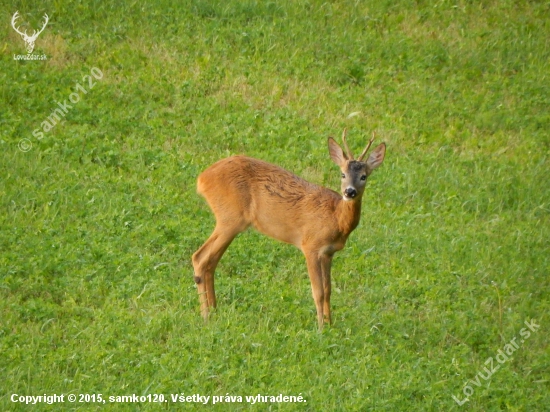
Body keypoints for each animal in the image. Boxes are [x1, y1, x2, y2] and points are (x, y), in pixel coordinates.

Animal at [194, 130, 388, 330]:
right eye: (342, 174)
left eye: (364, 176)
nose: (349, 192)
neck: (335, 217)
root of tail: (202, 178)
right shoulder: (310, 246)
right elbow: (318, 291)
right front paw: (321, 328)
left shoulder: (328, 253)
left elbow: (328, 290)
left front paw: (330, 325)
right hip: (230, 219)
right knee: (200, 257)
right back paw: (206, 315)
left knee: (210, 262)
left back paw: (214, 311)